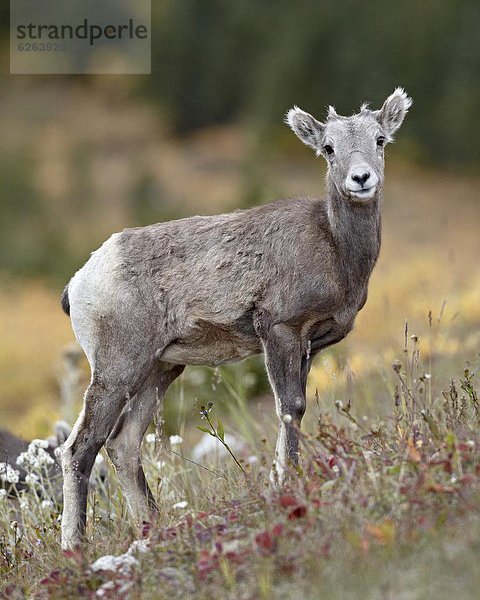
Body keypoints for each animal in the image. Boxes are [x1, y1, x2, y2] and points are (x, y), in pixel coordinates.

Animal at [59, 89, 412, 548]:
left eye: (380, 139)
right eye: (328, 148)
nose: (361, 179)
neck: (337, 249)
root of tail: (80, 281)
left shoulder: (309, 346)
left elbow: (295, 411)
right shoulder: (278, 331)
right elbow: (290, 409)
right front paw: (285, 482)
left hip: (160, 369)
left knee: (123, 444)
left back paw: (155, 527)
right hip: (117, 370)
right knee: (79, 449)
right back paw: (75, 547)